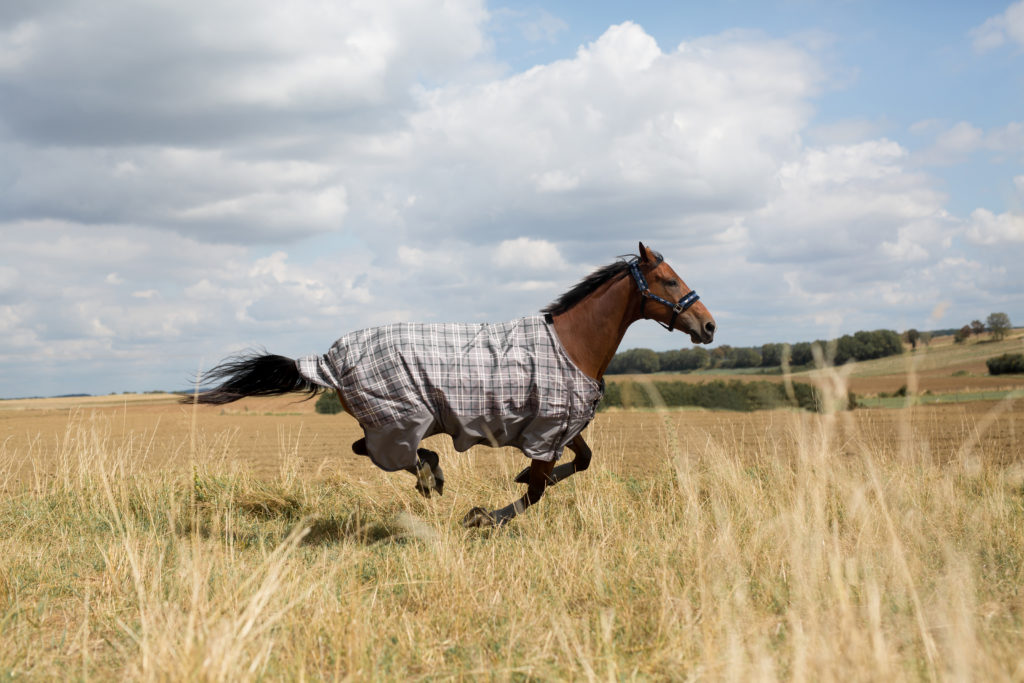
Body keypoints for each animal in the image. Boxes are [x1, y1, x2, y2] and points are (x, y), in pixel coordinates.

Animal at [183, 242, 716, 527]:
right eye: (669, 281)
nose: (709, 326)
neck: (571, 343)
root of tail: (327, 359)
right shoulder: (545, 431)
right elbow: (537, 490)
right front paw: (484, 516)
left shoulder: (561, 427)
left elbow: (579, 463)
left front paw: (514, 486)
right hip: (400, 419)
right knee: (381, 452)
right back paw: (431, 475)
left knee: (369, 450)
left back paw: (431, 473)